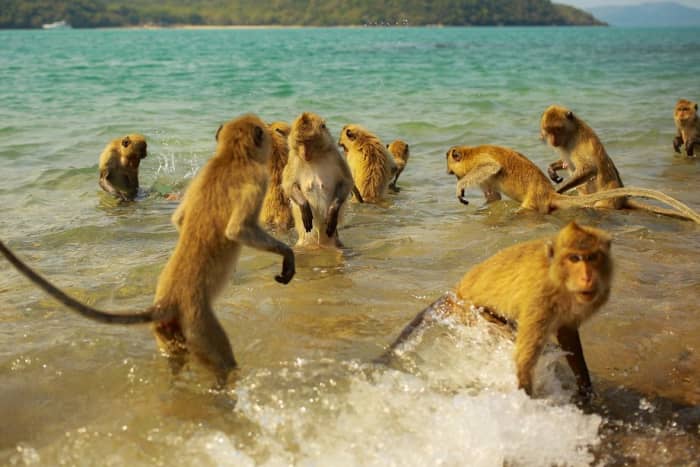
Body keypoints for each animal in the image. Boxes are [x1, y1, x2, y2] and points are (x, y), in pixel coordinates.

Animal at [0, 114, 296, 387]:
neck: (231, 158)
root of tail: (165, 303)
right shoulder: (255, 180)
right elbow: (237, 230)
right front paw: (287, 255)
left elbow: (180, 219)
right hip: (199, 325)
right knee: (223, 362)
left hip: (168, 331)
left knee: (175, 359)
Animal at [281, 112, 354, 248]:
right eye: (300, 142)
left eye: (308, 141)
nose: (304, 153)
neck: (316, 156)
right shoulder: (294, 157)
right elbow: (289, 185)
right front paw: (304, 206)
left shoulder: (334, 155)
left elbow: (346, 182)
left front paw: (332, 211)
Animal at [379, 222, 613, 400]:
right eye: (575, 259)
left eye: (592, 257)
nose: (587, 277)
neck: (559, 278)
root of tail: (456, 290)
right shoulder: (540, 298)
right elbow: (525, 359)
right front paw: (526, 398)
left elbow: (567, 333)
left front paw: (586, 389)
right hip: (469, 311)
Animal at [446, 145, 700, 223]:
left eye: (451, 167)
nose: (450, 173)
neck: (470, 152)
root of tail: (548, 193)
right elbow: (493, 197)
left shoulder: (481, 161)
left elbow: (492, 167)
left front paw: (460, 188)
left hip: (532, 204)